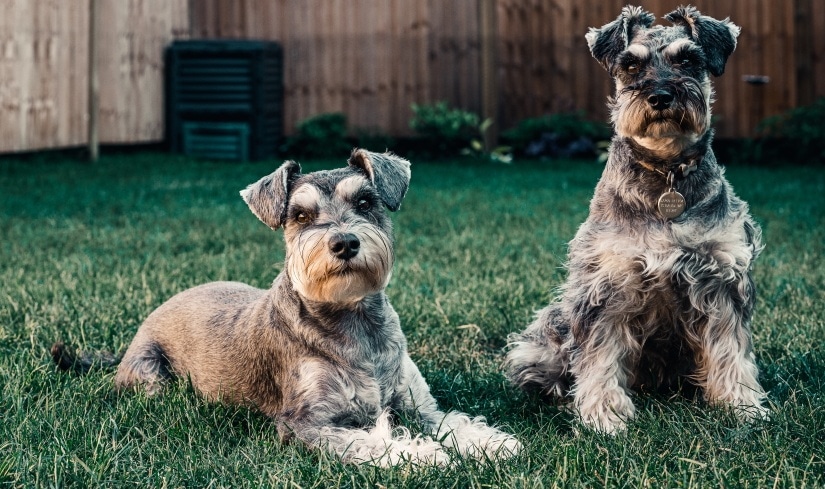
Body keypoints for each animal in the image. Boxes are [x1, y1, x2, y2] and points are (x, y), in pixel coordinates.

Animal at [51, 150, 520, 466]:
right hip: (152, 379)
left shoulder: (418, 405)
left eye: (365, 202)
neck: (354, 322)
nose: (344, 243)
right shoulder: (304, 423)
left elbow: (452, 421)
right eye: (300, 215)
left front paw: (491, 442)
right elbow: (367, 441)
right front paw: (422, 455)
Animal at [502, 5, 768, 432]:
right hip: (546, 334)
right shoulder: (608, 285)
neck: (666, 172)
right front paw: (603, 416)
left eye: (688, 60)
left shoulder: (721, 279)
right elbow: (600, 356)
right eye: (630, 65)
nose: (660, 96)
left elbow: (731, 349)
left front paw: (741, 405)